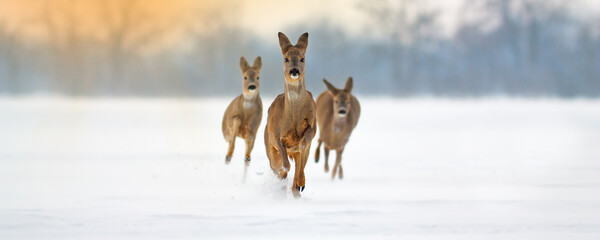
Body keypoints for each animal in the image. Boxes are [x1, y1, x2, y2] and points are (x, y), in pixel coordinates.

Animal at [264, 31, 316, 197]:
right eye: (286, 58)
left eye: (302, 58)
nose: (294, 71)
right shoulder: (275, 135)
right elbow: (284, 163)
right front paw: (284, 171)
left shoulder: (313, 125)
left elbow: (305, 142)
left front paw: (300, 184)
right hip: (268, 145)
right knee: (278, 166)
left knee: (298, 170)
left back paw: (299, 186)